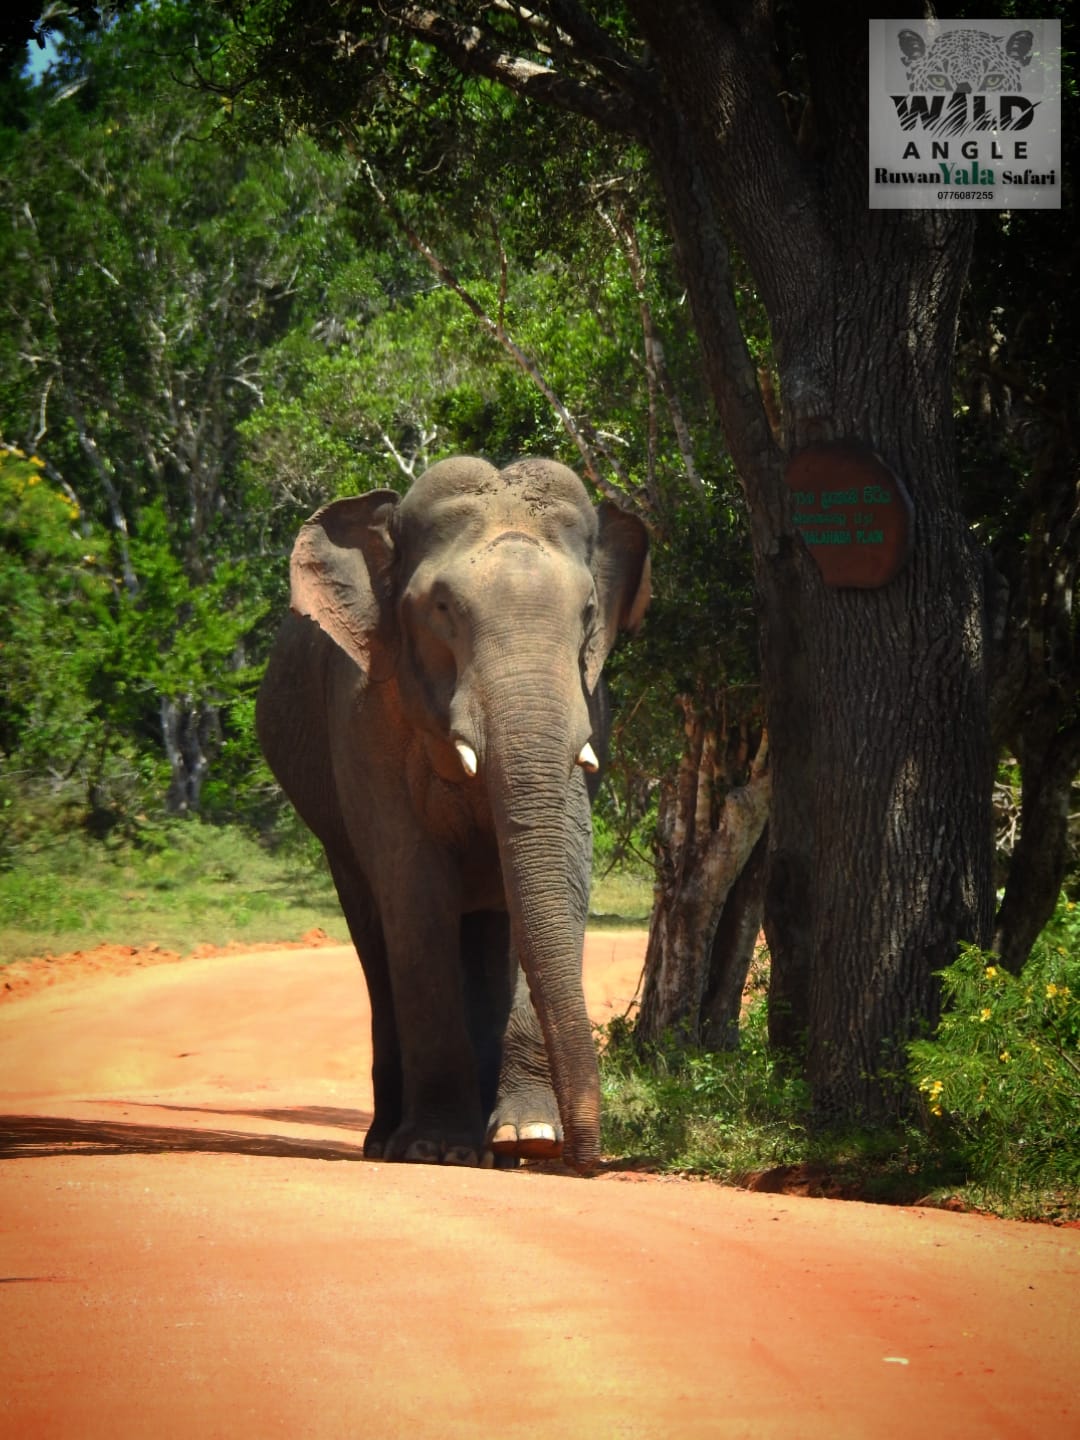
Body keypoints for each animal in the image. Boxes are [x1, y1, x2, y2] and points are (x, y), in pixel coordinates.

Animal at [256, 456, 650, 1173]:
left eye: (587, 612)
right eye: (441, 609)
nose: (587, 1161)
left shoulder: (591, 708)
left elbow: (563, 873)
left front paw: (531, 1138)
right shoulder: (365, 721)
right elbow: (415, 891)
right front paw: (437, 1149)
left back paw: (501, 1145)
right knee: (375, 932)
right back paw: (387, 1142)